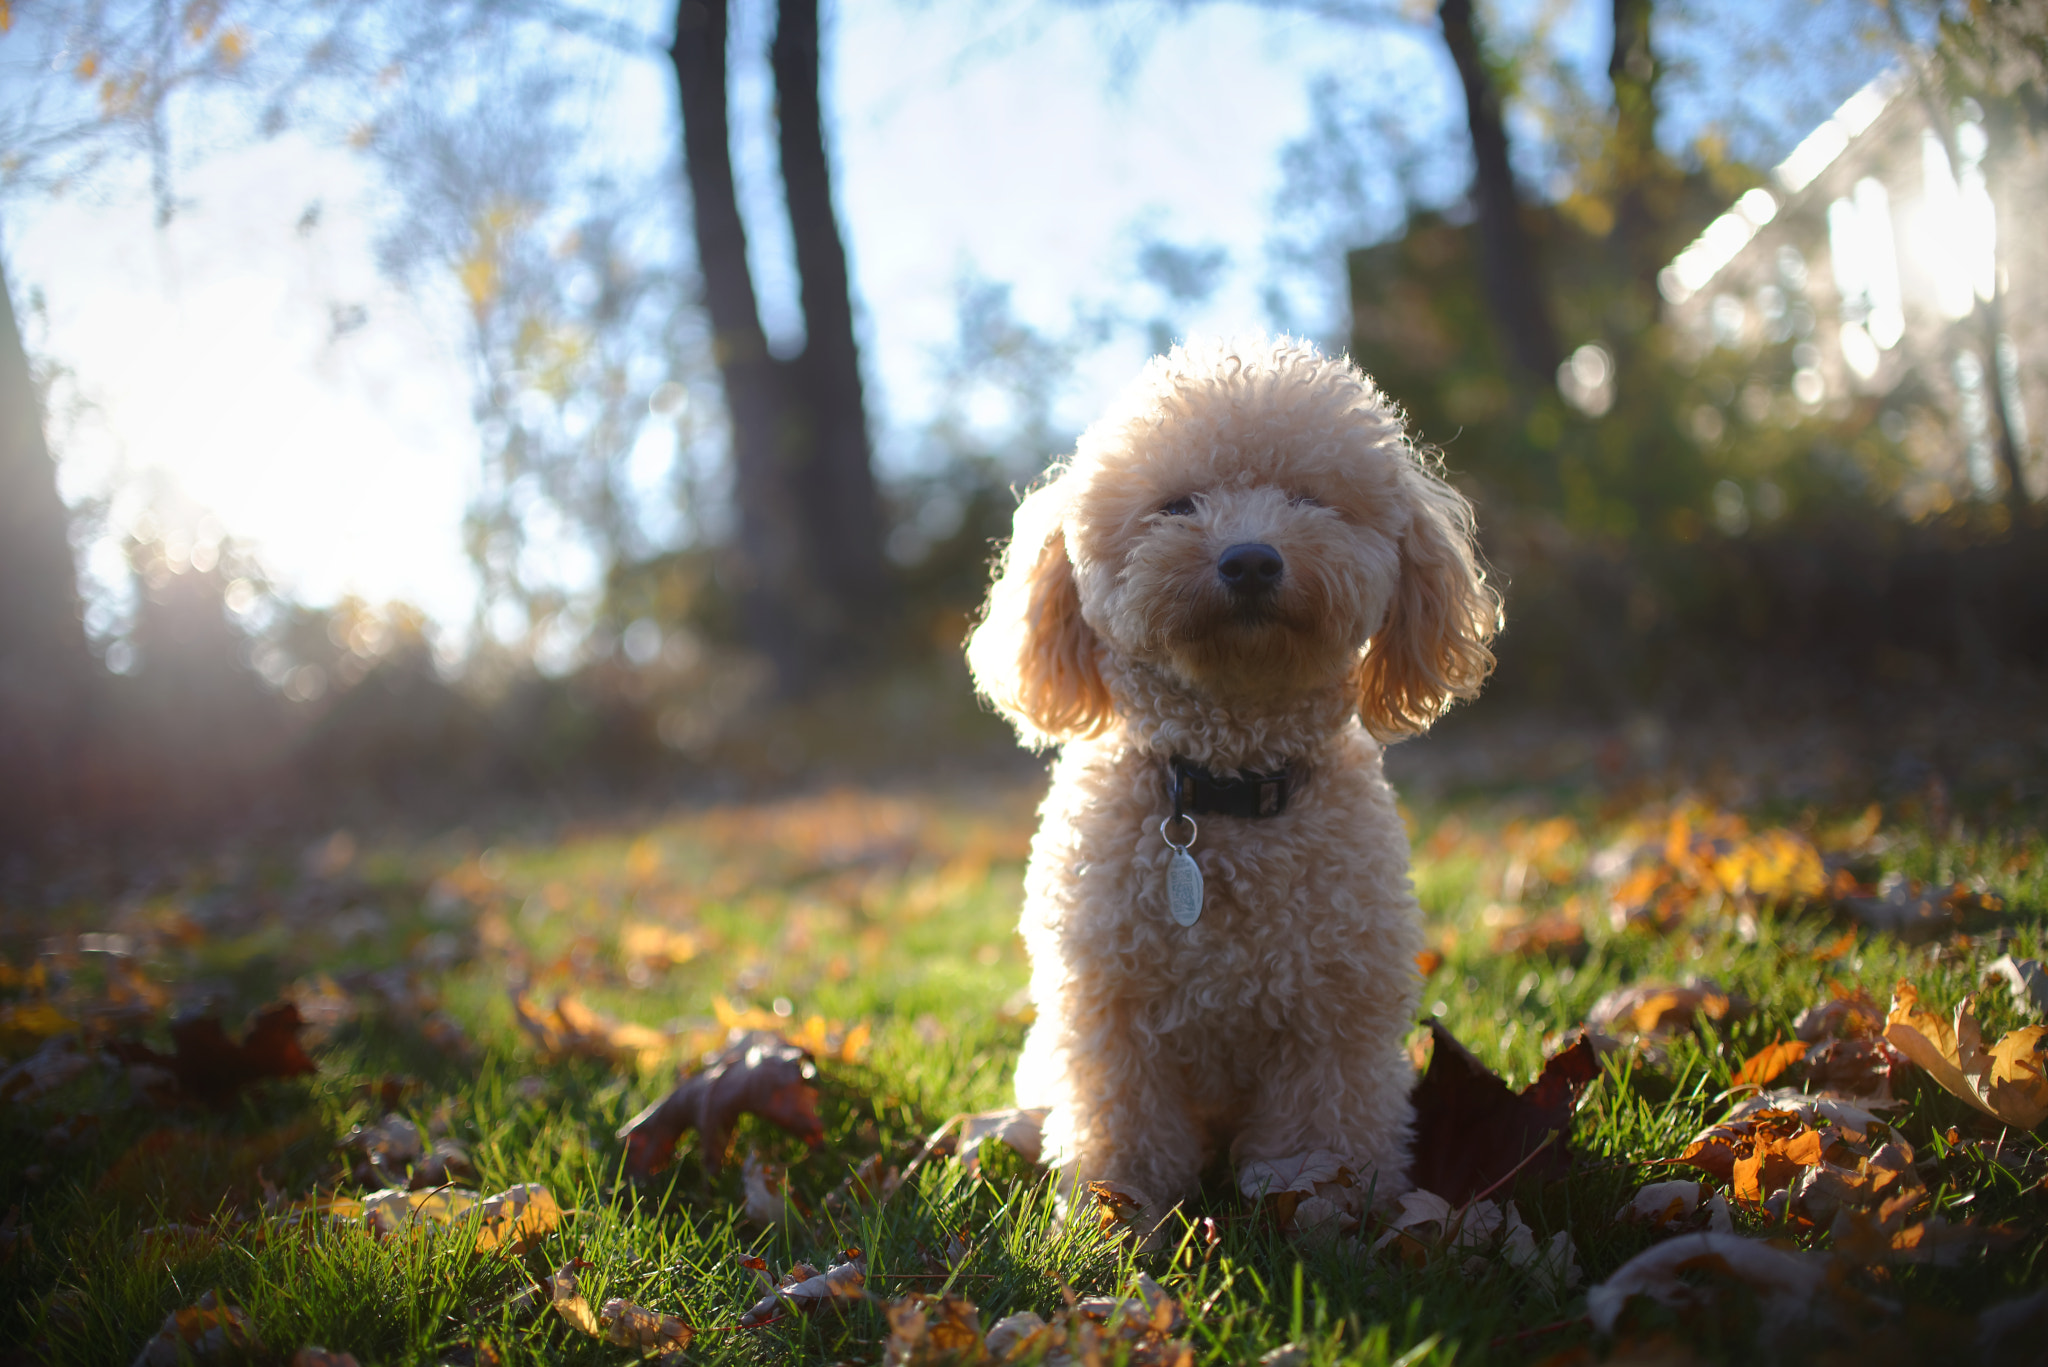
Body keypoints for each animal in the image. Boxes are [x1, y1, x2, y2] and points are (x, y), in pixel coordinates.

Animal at [966, 336, 1499, 1213]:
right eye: (1178, 505)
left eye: (1308, 498)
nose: (1250, 559)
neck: (1223, 786)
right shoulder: (1110, 1013)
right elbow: (1125, 1126)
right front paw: (1117, 1210)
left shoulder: (1333, 1009)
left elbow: (1323, 1131)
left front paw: (1317, 1204)